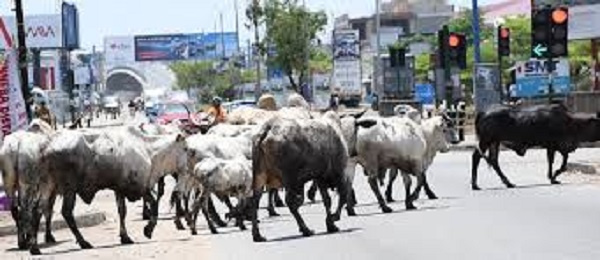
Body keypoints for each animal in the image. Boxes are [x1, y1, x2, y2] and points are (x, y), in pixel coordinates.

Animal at [472, 103, 600, 191]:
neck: (570, 123)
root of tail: (484, 112)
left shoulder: (554, 146)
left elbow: (558, 161)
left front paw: (552, 176)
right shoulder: (556, 145)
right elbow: (560, 162)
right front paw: (553, 176)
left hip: (495, 142)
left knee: (494, 161)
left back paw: (508, 183)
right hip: (485, 141)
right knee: (476, 157)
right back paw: (475, 185)